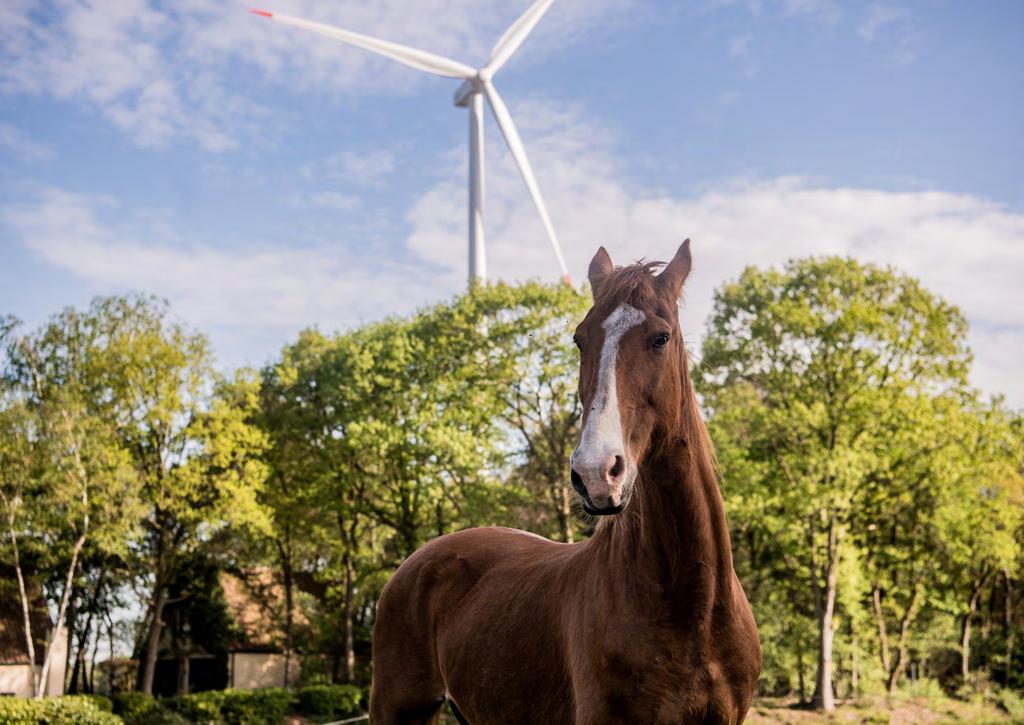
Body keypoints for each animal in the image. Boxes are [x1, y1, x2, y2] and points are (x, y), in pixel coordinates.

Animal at [368, 243, 761, 724]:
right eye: (580, 339)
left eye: (661, 337)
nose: (596, 472)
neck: (694, 609)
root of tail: (418, 561)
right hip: (396, 707)